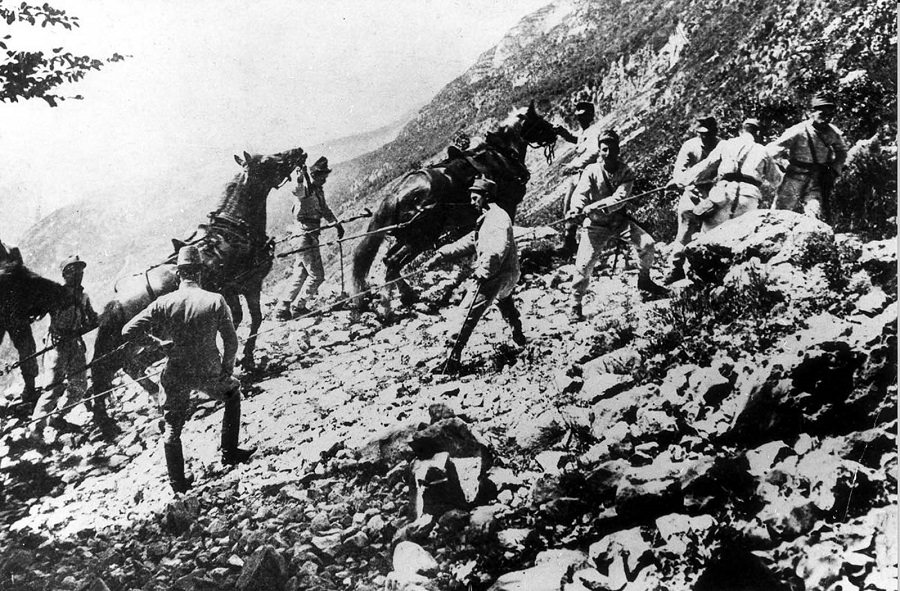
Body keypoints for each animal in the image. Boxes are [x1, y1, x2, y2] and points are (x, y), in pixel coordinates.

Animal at [92, 149, 308, 408]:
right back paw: (158, 394)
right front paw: (247, 360)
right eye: (266, 160)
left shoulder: (230, 292)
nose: (297, 152)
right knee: (130, 366)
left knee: (127, 366)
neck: (233, 233)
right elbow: (254, 319)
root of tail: (116, 301)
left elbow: (237, 320)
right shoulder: (248, 285)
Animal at [352, 102, 564, 312]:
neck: (501, 155)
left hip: (407, 237)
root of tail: (396, 195)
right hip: (422, 239)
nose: (555, 132)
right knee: (393, 263)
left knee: (388, 260)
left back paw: (405, 296)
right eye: (538, 120)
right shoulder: (507, 206)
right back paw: (397, 302)